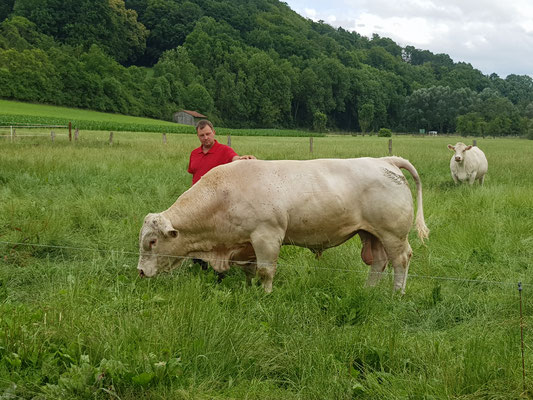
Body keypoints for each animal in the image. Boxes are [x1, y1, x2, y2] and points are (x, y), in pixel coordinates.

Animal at [137, 157, 428, 294]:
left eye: (152, 241)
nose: (139, 271)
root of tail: (385, 160)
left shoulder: (267, 236)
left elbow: (266, 271)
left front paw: (265, 294)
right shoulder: (247, 244)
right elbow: (250, 271)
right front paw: (249, 289)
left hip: (393, 234)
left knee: (401, 260)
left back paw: (397, 293)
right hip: (370, 234)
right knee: (378, 262)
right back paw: (368, 291)